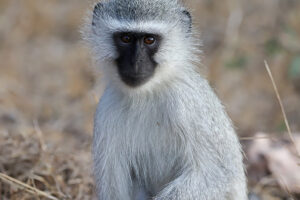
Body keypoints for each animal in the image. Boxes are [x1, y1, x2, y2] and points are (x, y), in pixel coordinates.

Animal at [83, 0, 247, 199]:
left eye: (149, 40)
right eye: (126, 38)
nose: (135, 62)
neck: (147, 94)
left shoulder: (188, 103)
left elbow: (218, 174)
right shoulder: (106, 110)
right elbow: (113, 191)